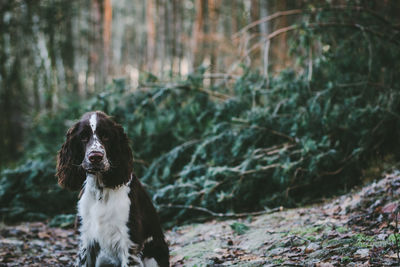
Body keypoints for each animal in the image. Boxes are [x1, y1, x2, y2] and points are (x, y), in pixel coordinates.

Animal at [56, 111, 169, 267]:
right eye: (83, 137)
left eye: (106, 136)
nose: (95, 157)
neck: (100, 191)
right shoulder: (87, 238)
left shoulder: (129, 242)